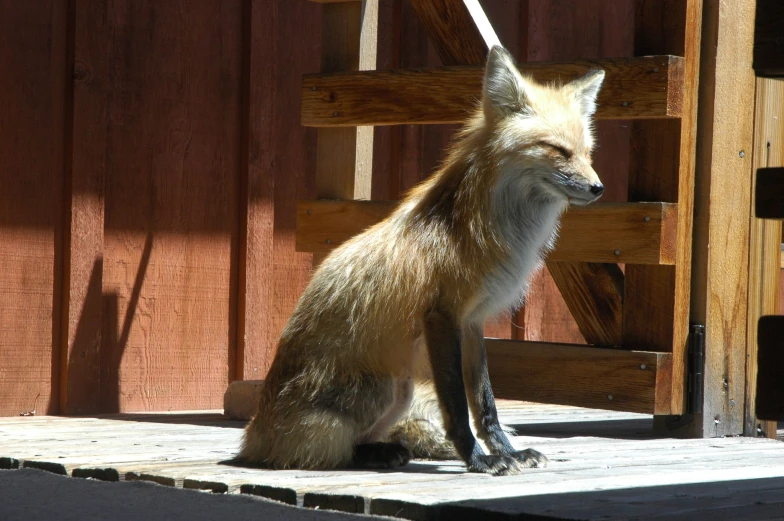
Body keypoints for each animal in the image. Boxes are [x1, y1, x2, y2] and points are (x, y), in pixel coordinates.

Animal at [239, 45, 608, 476]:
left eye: (587, 153)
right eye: (558, 150)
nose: (599, 188)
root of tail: (253, 437)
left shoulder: (472, 322)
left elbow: (484, 402)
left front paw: (507, 451)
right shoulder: (441, 316)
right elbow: (457, 406)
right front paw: (480, 460)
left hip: (402, 391)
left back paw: (384, 451)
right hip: (385, 388)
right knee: (328, 453)